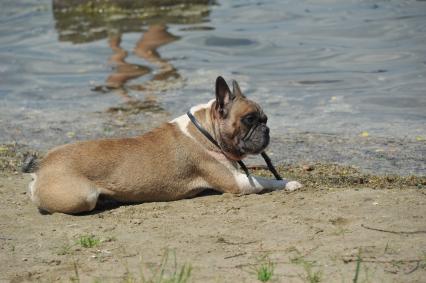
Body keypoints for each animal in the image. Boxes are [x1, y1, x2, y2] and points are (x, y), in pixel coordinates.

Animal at [23, 76, 302, 214]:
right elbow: (268, 181)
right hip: (83, 195)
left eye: (265, 119)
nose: (266, 129)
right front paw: (290, 183)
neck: (205, 130)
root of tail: (43, 167)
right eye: (249, 120)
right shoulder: (238, 183)